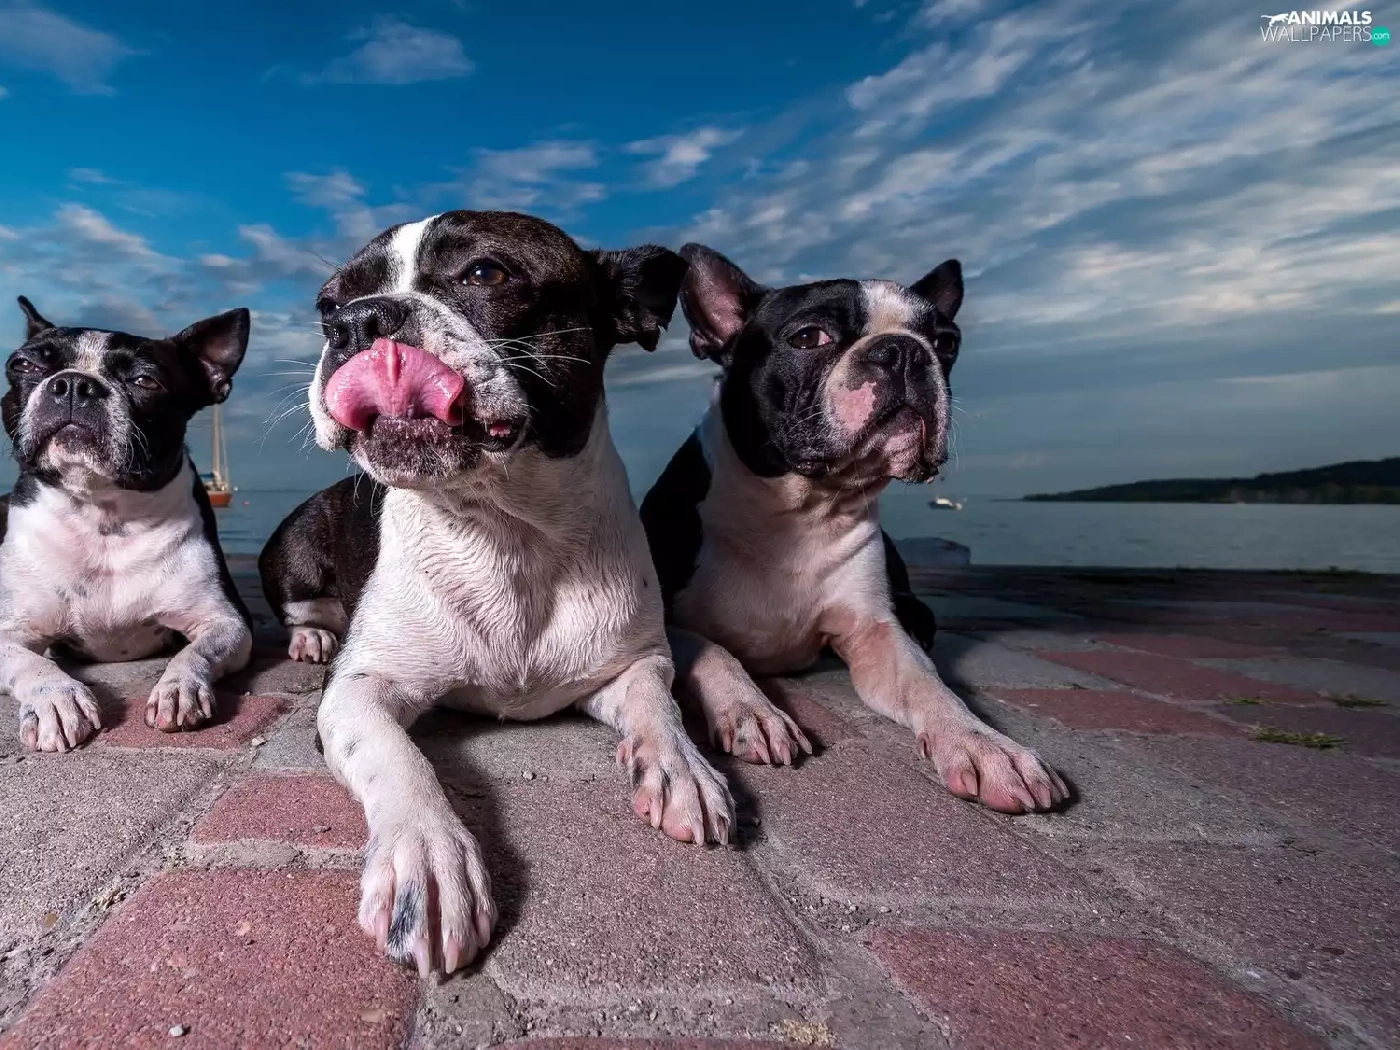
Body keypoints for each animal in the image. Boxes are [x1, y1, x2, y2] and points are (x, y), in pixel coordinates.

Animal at [0, 298, 253, 751]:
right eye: (23, 365)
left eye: (145, 380)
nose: (73, 384)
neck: (103, 515)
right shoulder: (10, 631)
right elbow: (29, 663)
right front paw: (55, 699)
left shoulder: (227, 622)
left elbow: (196, 653)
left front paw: (180, 687)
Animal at [258, 211, 733, 976]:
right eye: (327, 306)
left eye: (486, 273)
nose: (356, 322)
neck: (503, 532)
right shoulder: (359, 691)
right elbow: (399, 758)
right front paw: (426, 856)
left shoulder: (626, 662)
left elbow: (656, 701)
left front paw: (681, 765)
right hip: (298, 542)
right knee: (304, 603)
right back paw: (312, 634)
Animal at [640, 244, 1068, 813]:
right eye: (808, 337)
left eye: (945, 343)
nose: (903, 352)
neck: (801, 510)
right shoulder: (666, 619)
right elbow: (716, 654)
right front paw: (752, 709)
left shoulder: (876, 632)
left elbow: (929, 685)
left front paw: (985, 744)